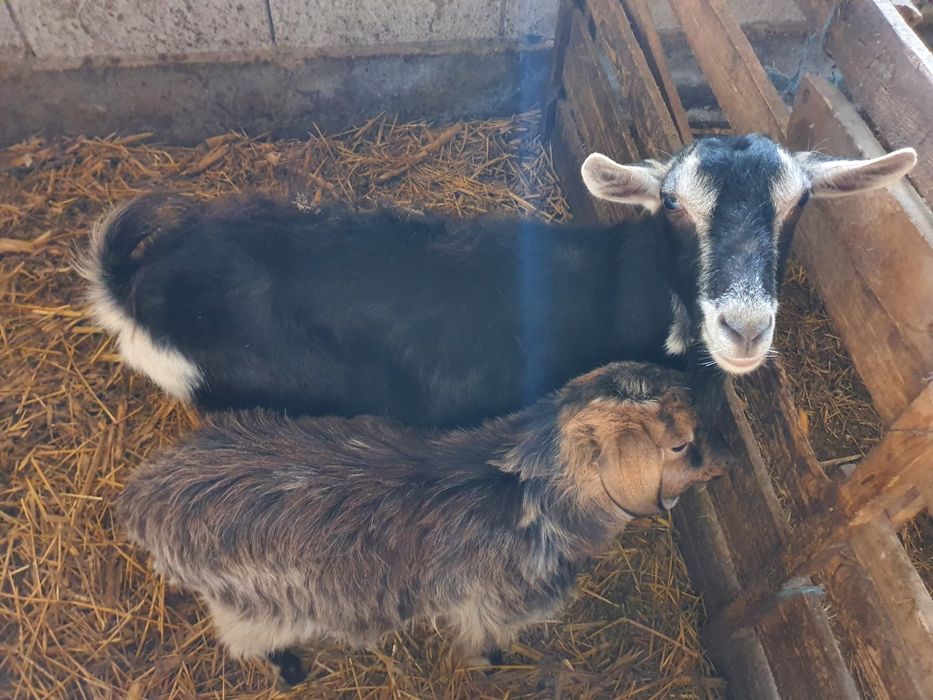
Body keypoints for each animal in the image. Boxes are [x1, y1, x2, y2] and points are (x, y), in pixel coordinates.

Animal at [117, 361, 725, 687]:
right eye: (680, 444)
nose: (724, 462)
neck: (532, 492)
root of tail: (146, 501)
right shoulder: (493, 606)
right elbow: (484, 644)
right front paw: (493, 670)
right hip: (256, 604)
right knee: (244, 639)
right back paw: (288, 670)